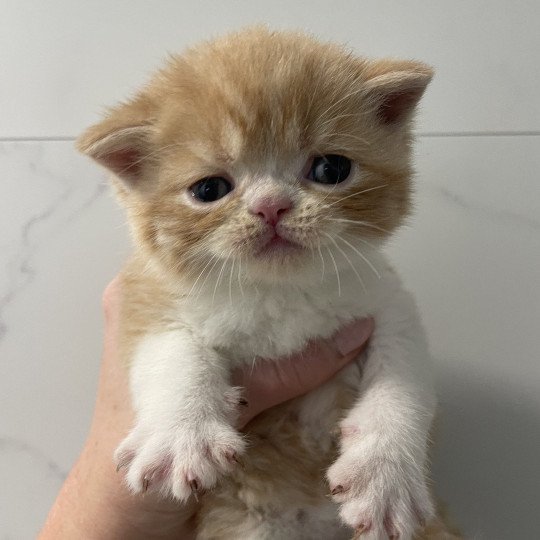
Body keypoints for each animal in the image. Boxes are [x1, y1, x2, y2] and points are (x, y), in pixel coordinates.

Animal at [79, 28, 460, 540]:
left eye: (331, 169)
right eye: (208, 190)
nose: (271, 205)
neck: (277, 292)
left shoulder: (387, 301)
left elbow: (404, 380)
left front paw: (386, 473)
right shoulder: (149, 295)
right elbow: (171, 350)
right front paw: (182, 432)